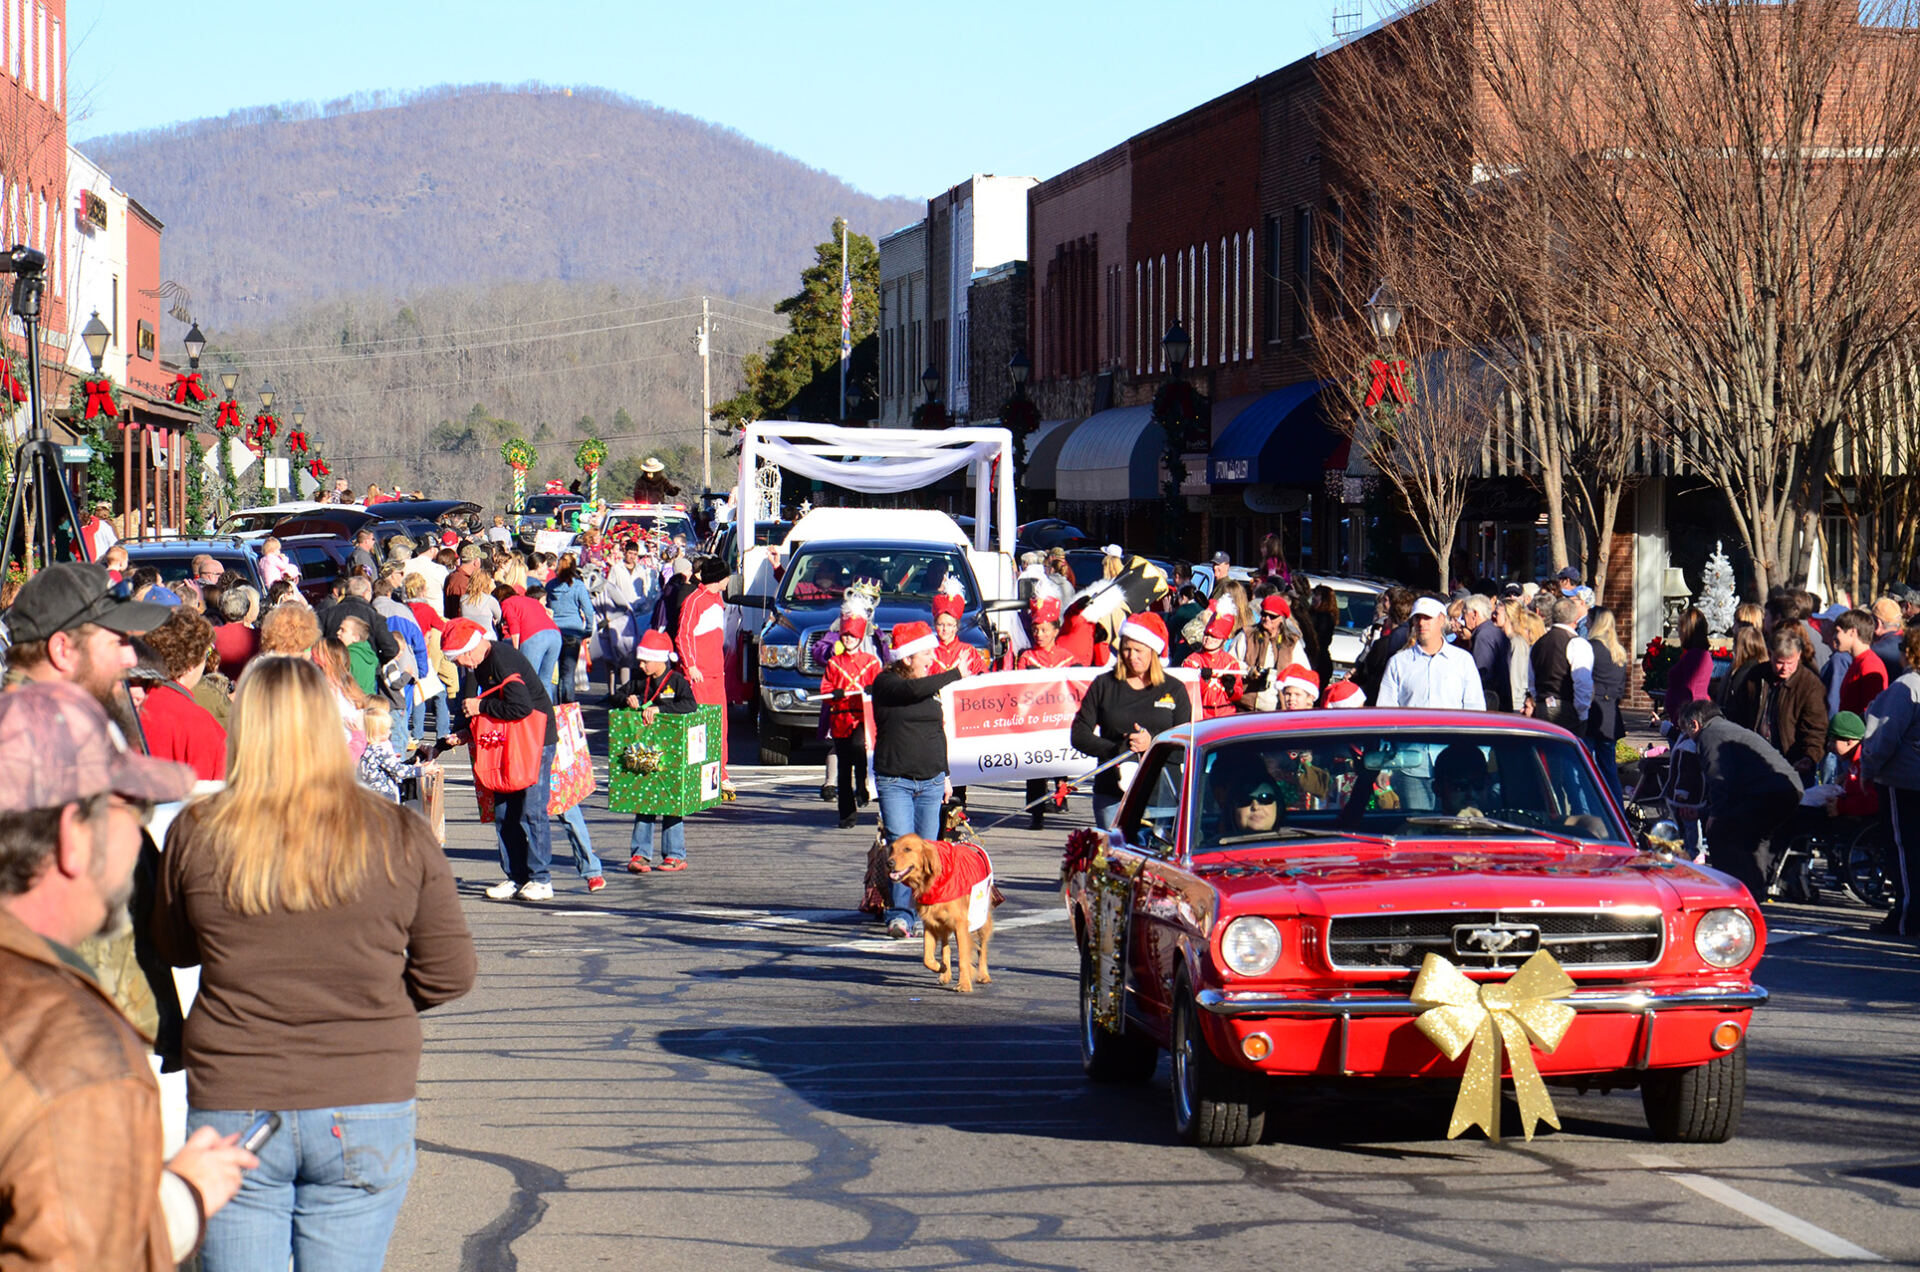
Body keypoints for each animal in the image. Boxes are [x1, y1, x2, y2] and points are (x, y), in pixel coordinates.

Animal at [887, 837, 1006, 999]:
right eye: (892, 848)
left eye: (907, 849)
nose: (889, 863)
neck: (932, 882)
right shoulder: (930, 924)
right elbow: (927, 958)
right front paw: (941, 967)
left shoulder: (960, 925)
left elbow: (963, 957)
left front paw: (964, 984)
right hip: (943, 925)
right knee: (946, 948)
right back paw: (946, 974)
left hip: (981, 919)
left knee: (982, 948)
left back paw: (983, 975)